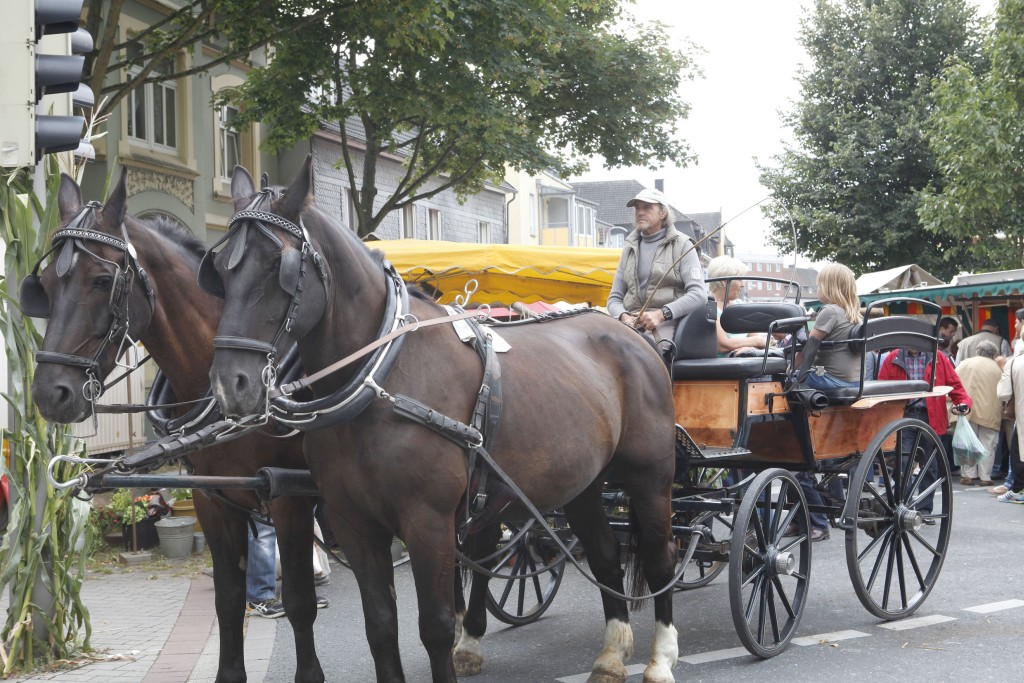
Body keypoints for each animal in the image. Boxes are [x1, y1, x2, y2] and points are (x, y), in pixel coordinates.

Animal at [27, 171, 326, 683]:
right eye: (44, 285)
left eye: (102, 280)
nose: (51, 393)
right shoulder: (213, 498)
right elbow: (228, 601)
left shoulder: (291, 497)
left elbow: (301, 601)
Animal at [205, 156, 681, 683]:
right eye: (219, 271)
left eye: (278, 266)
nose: (230, 385)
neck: (381, 377)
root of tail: (630, 331)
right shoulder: (355, 524)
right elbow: (380, 626)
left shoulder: (427, 522)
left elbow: (434, 625)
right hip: (581, 484)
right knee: (605, 556)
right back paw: (612, 655)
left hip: (649, 476)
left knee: (660, 559)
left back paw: (660, 659)